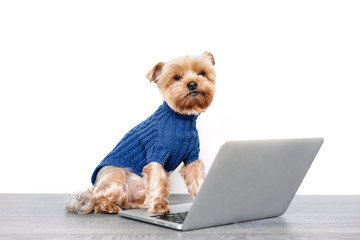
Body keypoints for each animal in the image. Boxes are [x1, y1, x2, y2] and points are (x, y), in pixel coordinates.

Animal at [66, 51, 215, 215]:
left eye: (202, 73)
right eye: (176, 77)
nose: (192, 84)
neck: (180, 118)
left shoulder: (192, 157)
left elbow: (198, 178)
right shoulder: (156, 152)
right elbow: (157, 179)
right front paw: (159, 205)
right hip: (115, 175)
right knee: (98, 198)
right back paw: (107, 206)